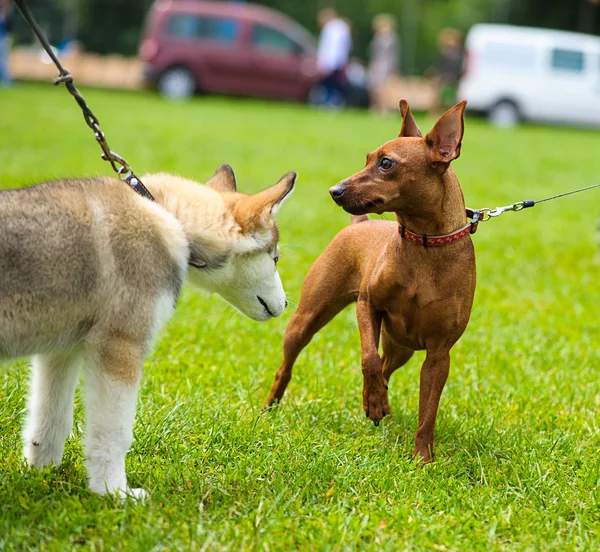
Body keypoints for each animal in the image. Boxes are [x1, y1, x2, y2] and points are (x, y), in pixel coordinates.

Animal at [0, 163, 296, 496]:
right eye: (276, 258)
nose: (287, 304)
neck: (167, 215)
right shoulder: (120, 345)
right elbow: (114, 433)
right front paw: (113, 493)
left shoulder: (61, 349)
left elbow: (49, 420)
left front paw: (43, 474)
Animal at [264, 100, 476, 462]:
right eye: (367, 158)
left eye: (386, 163)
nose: (334, 191)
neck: (423, 246)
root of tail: (359, 224)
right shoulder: (368, 306)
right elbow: (368, 359)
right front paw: (374, 401)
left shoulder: (438, 355)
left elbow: (428, 412)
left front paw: (422, 458)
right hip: (306, 320)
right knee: (288, 366)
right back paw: (271, 407)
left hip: (403, 348)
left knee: (389, 368)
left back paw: (380, 403)